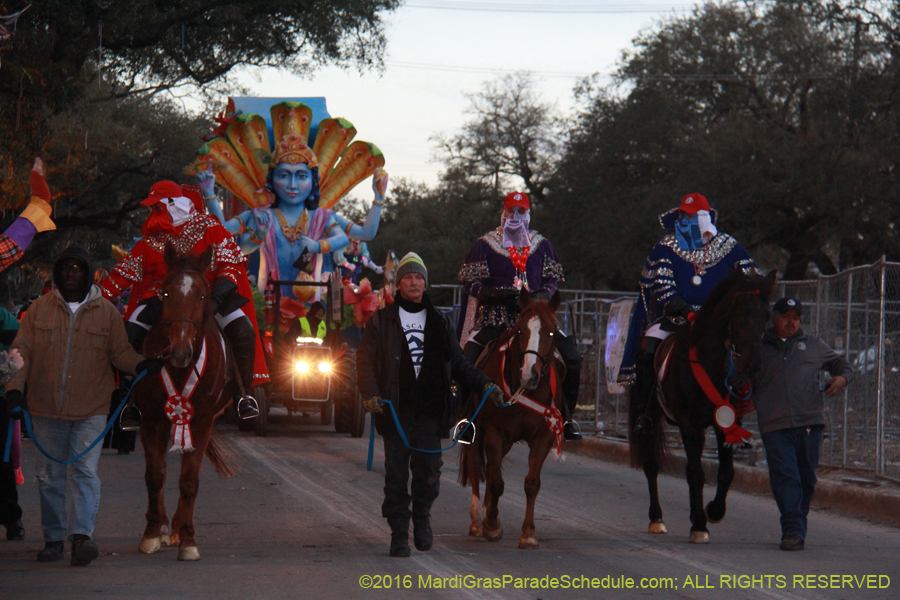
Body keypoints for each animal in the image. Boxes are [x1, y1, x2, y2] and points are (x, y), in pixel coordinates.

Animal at [132, 244, 236, 564]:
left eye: (202, 295)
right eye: (165, 294)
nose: (180, 352)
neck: (178, 370)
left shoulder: (201, 422)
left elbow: (189, 481)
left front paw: (188, 540)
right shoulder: (150, 419)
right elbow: (154, 476)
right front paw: (152, 533)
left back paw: (176, 528)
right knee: (163, 470)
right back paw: (165, 527)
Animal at [460, 290, 568, 548]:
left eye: (551, 331)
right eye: (520, 331)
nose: (530, 375)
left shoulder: (544, 437)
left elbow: (531, 482)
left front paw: (528, 532)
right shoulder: (493, 433)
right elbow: (496, 481)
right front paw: (491, 526)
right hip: (476, 433)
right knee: (476, 467)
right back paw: (477, 520)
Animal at [628, 272, 776, 544]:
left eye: (767, 315)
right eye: (741, 312)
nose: (752, 365)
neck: (711, 363)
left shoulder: (726, 422)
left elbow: (726, 471)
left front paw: (713, 511)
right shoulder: (689, 424)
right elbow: (695, 472)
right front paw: (699, 525)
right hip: (652, 418)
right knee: (652, 465)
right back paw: (657, 519)